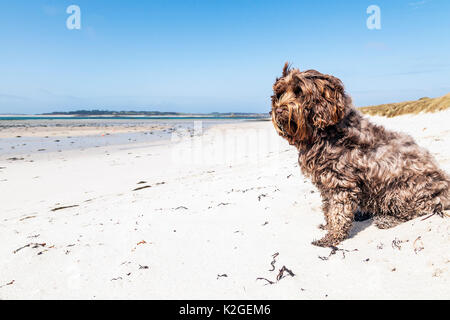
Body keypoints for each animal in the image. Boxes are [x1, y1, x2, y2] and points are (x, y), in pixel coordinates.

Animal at [270, 62, 450, 248]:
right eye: (280, 93)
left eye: (299, 91)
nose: (279, 110)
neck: (324, 133)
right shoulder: (326, 184)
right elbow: (328, 208)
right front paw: (328, 226)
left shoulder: (341, 183)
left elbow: (338, 212)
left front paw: (332, 236)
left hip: (399, 191)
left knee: (417, 212)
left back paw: (386, 219)